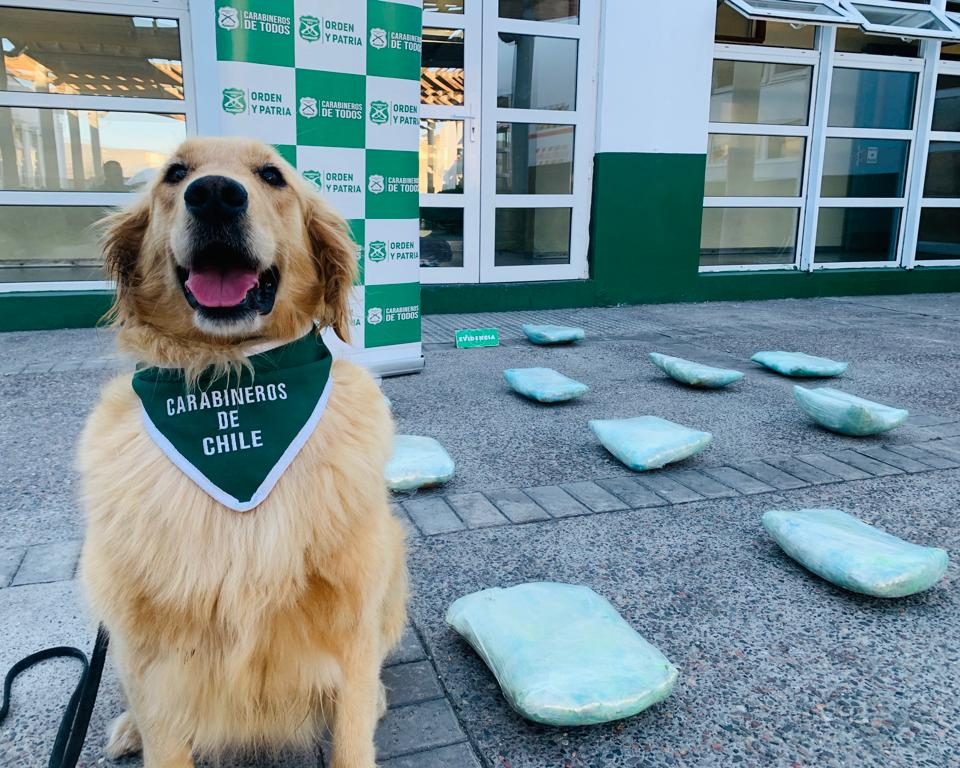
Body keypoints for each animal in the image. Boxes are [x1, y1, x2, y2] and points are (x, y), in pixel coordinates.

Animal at [76, 138, 404, 768]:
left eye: (272, 176)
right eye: (175, 174)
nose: (214, 195)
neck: (233, 377)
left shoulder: (352, 615)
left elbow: (351, 732)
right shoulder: (149, 648)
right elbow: (163, 737)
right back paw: (127, 728)